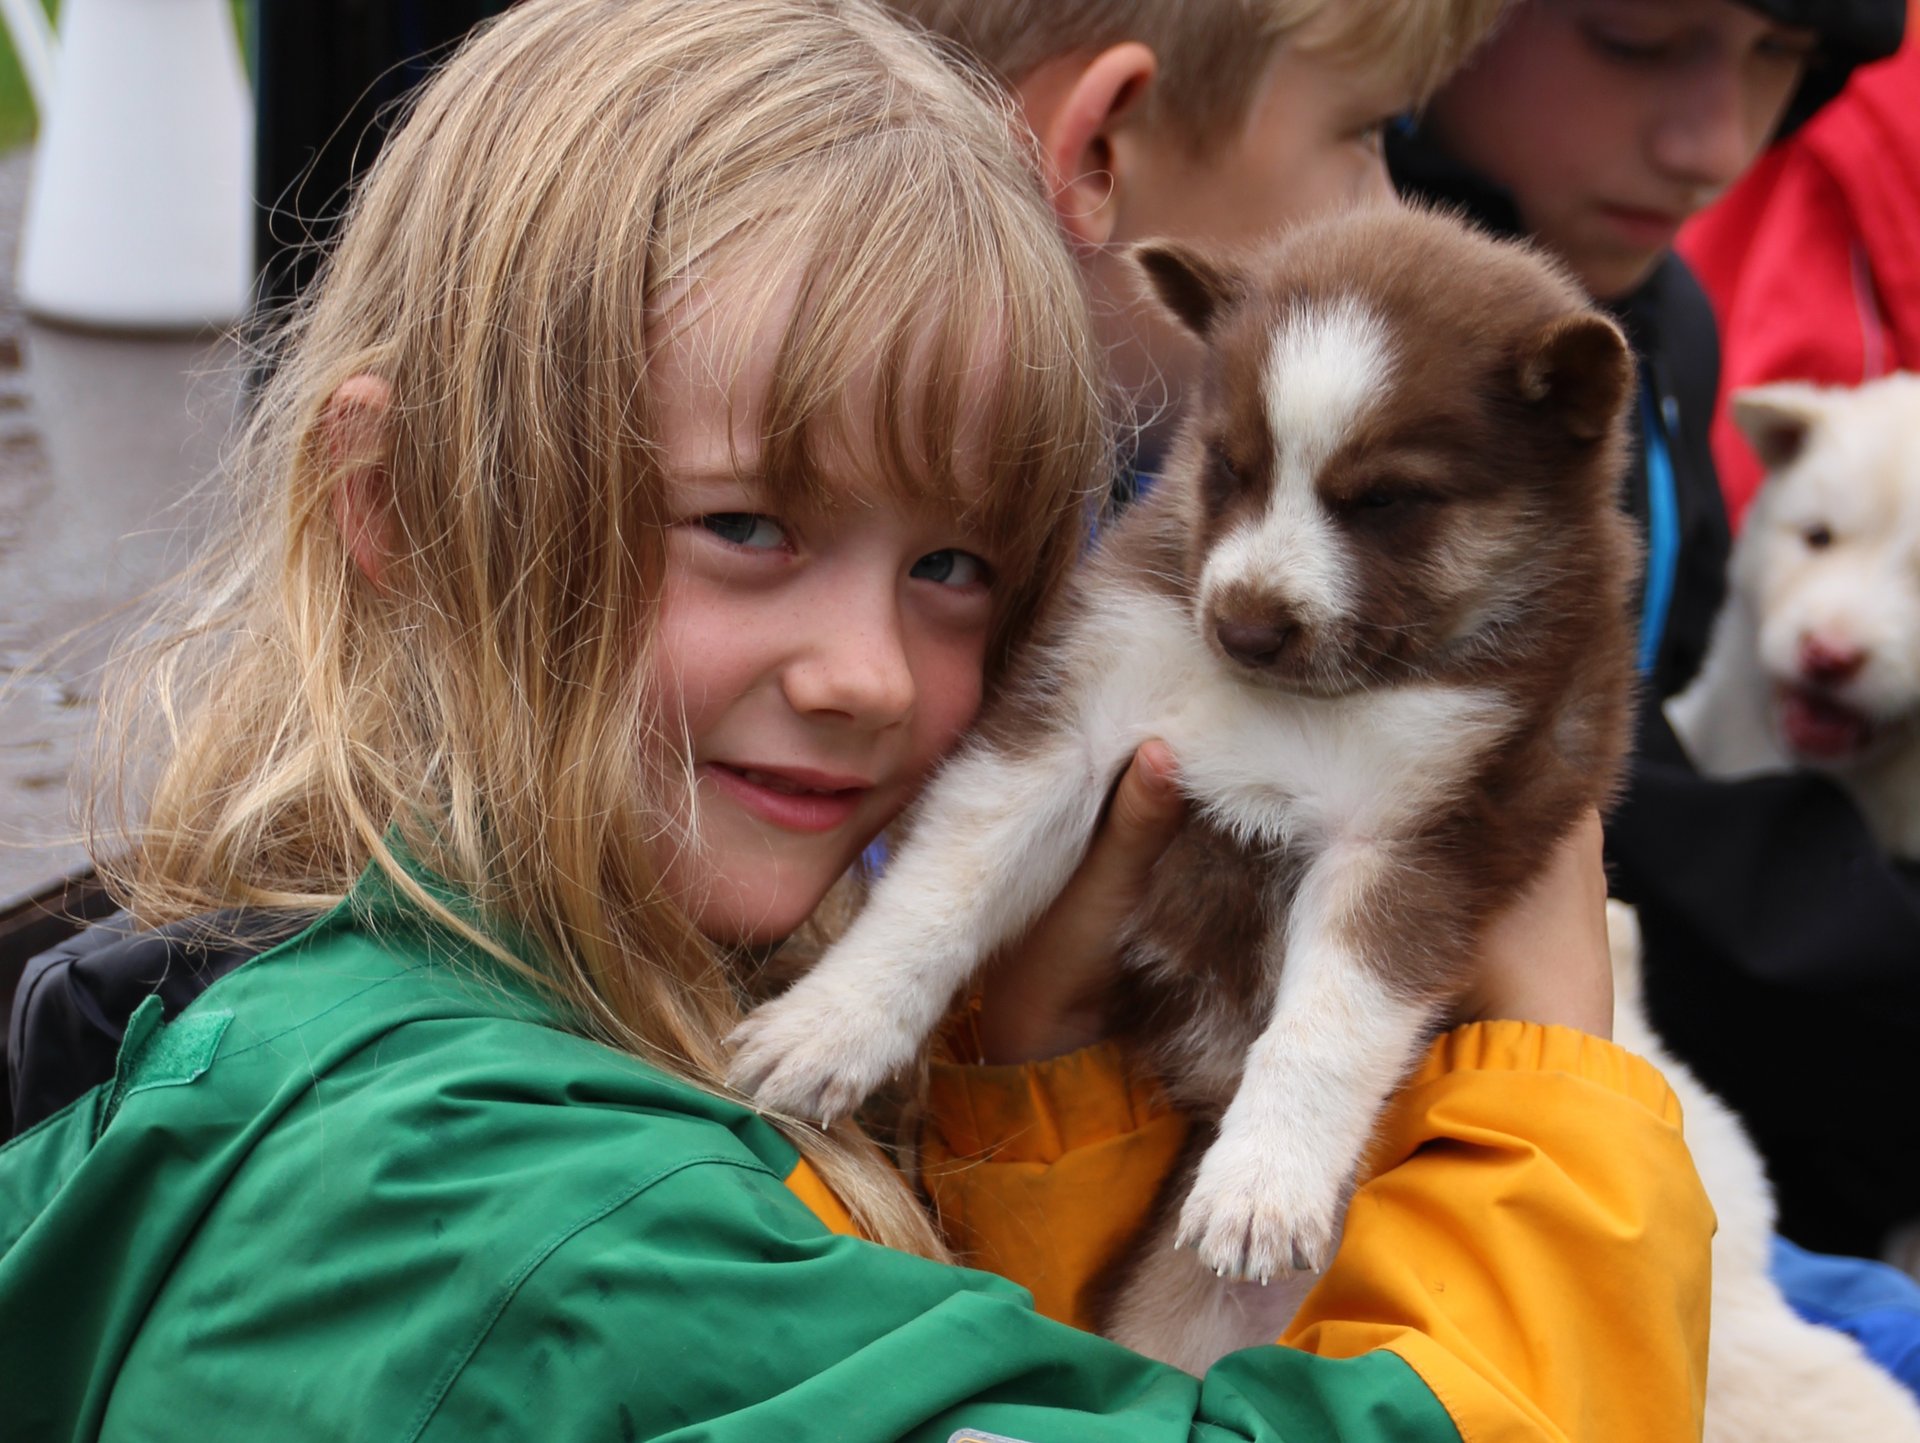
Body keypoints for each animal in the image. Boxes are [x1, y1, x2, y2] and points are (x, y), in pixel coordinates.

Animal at [729, 205, 1639, 1371]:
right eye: (1227, 466)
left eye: (1385, 500)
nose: (1244, 624)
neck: (1299, 700)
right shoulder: (1072, 715)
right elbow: (941, 888)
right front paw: (828, 1024)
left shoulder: (1426, 827)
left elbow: (1329, 1020)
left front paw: (1265, 1182)